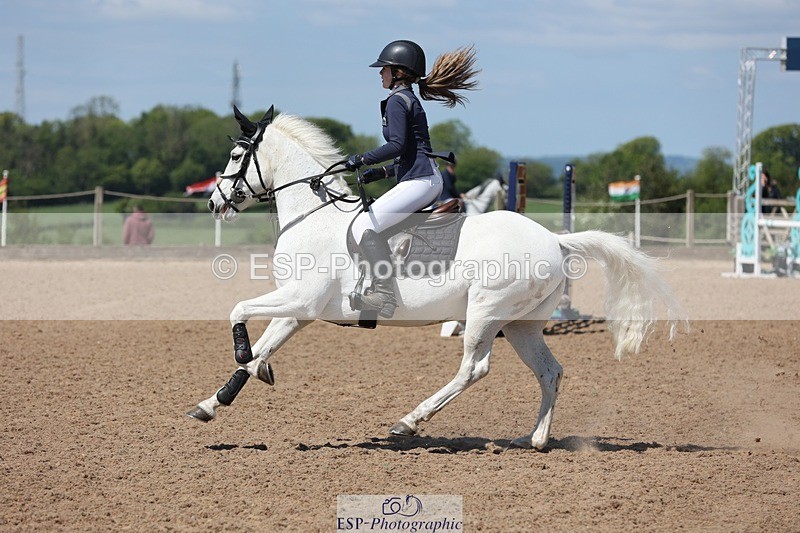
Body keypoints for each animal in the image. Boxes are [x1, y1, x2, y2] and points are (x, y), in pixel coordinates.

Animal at [188, 105, 685, 450]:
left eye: (236, 154)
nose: (213, 203)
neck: (313, 217)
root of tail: (554, 241)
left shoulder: (301, 300)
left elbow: (238, 313)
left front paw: (245, 358)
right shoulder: (298, 310)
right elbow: (260, 349)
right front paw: (215, 402)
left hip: (485, 312)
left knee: (473, 368)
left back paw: (409, 421)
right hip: (521, 325)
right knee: (550, 372)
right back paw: (536, 439)